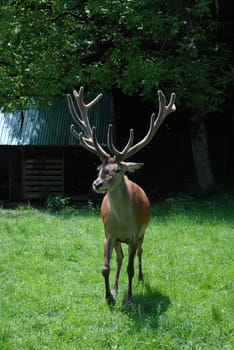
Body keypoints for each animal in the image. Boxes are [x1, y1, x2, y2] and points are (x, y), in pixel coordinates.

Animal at [66, 87, 176, 304]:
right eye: (99, 168)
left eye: (117, 170)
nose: (97, 184)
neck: (124, 222)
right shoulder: (109, 234)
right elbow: (105, 267)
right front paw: (109, 296)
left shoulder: (134, 234)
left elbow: (130, 269)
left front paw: (130, 299)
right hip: (118, 240)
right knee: (119, 258)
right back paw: (116, 288)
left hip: (143, 232)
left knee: (140, 253)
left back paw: (141, 278)